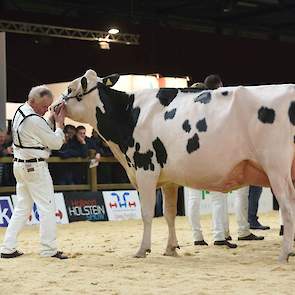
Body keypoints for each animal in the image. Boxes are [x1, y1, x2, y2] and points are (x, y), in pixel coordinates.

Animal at [52, 70, 295, 264]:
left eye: (69, 88)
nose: (55, 106)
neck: (129, 114)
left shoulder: (145, 169)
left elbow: (147, 213)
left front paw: (142, 250)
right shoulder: (168, 179)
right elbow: (169, 214)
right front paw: (171, 248)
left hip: (277, 169)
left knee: (287, 208)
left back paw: (284, 254)